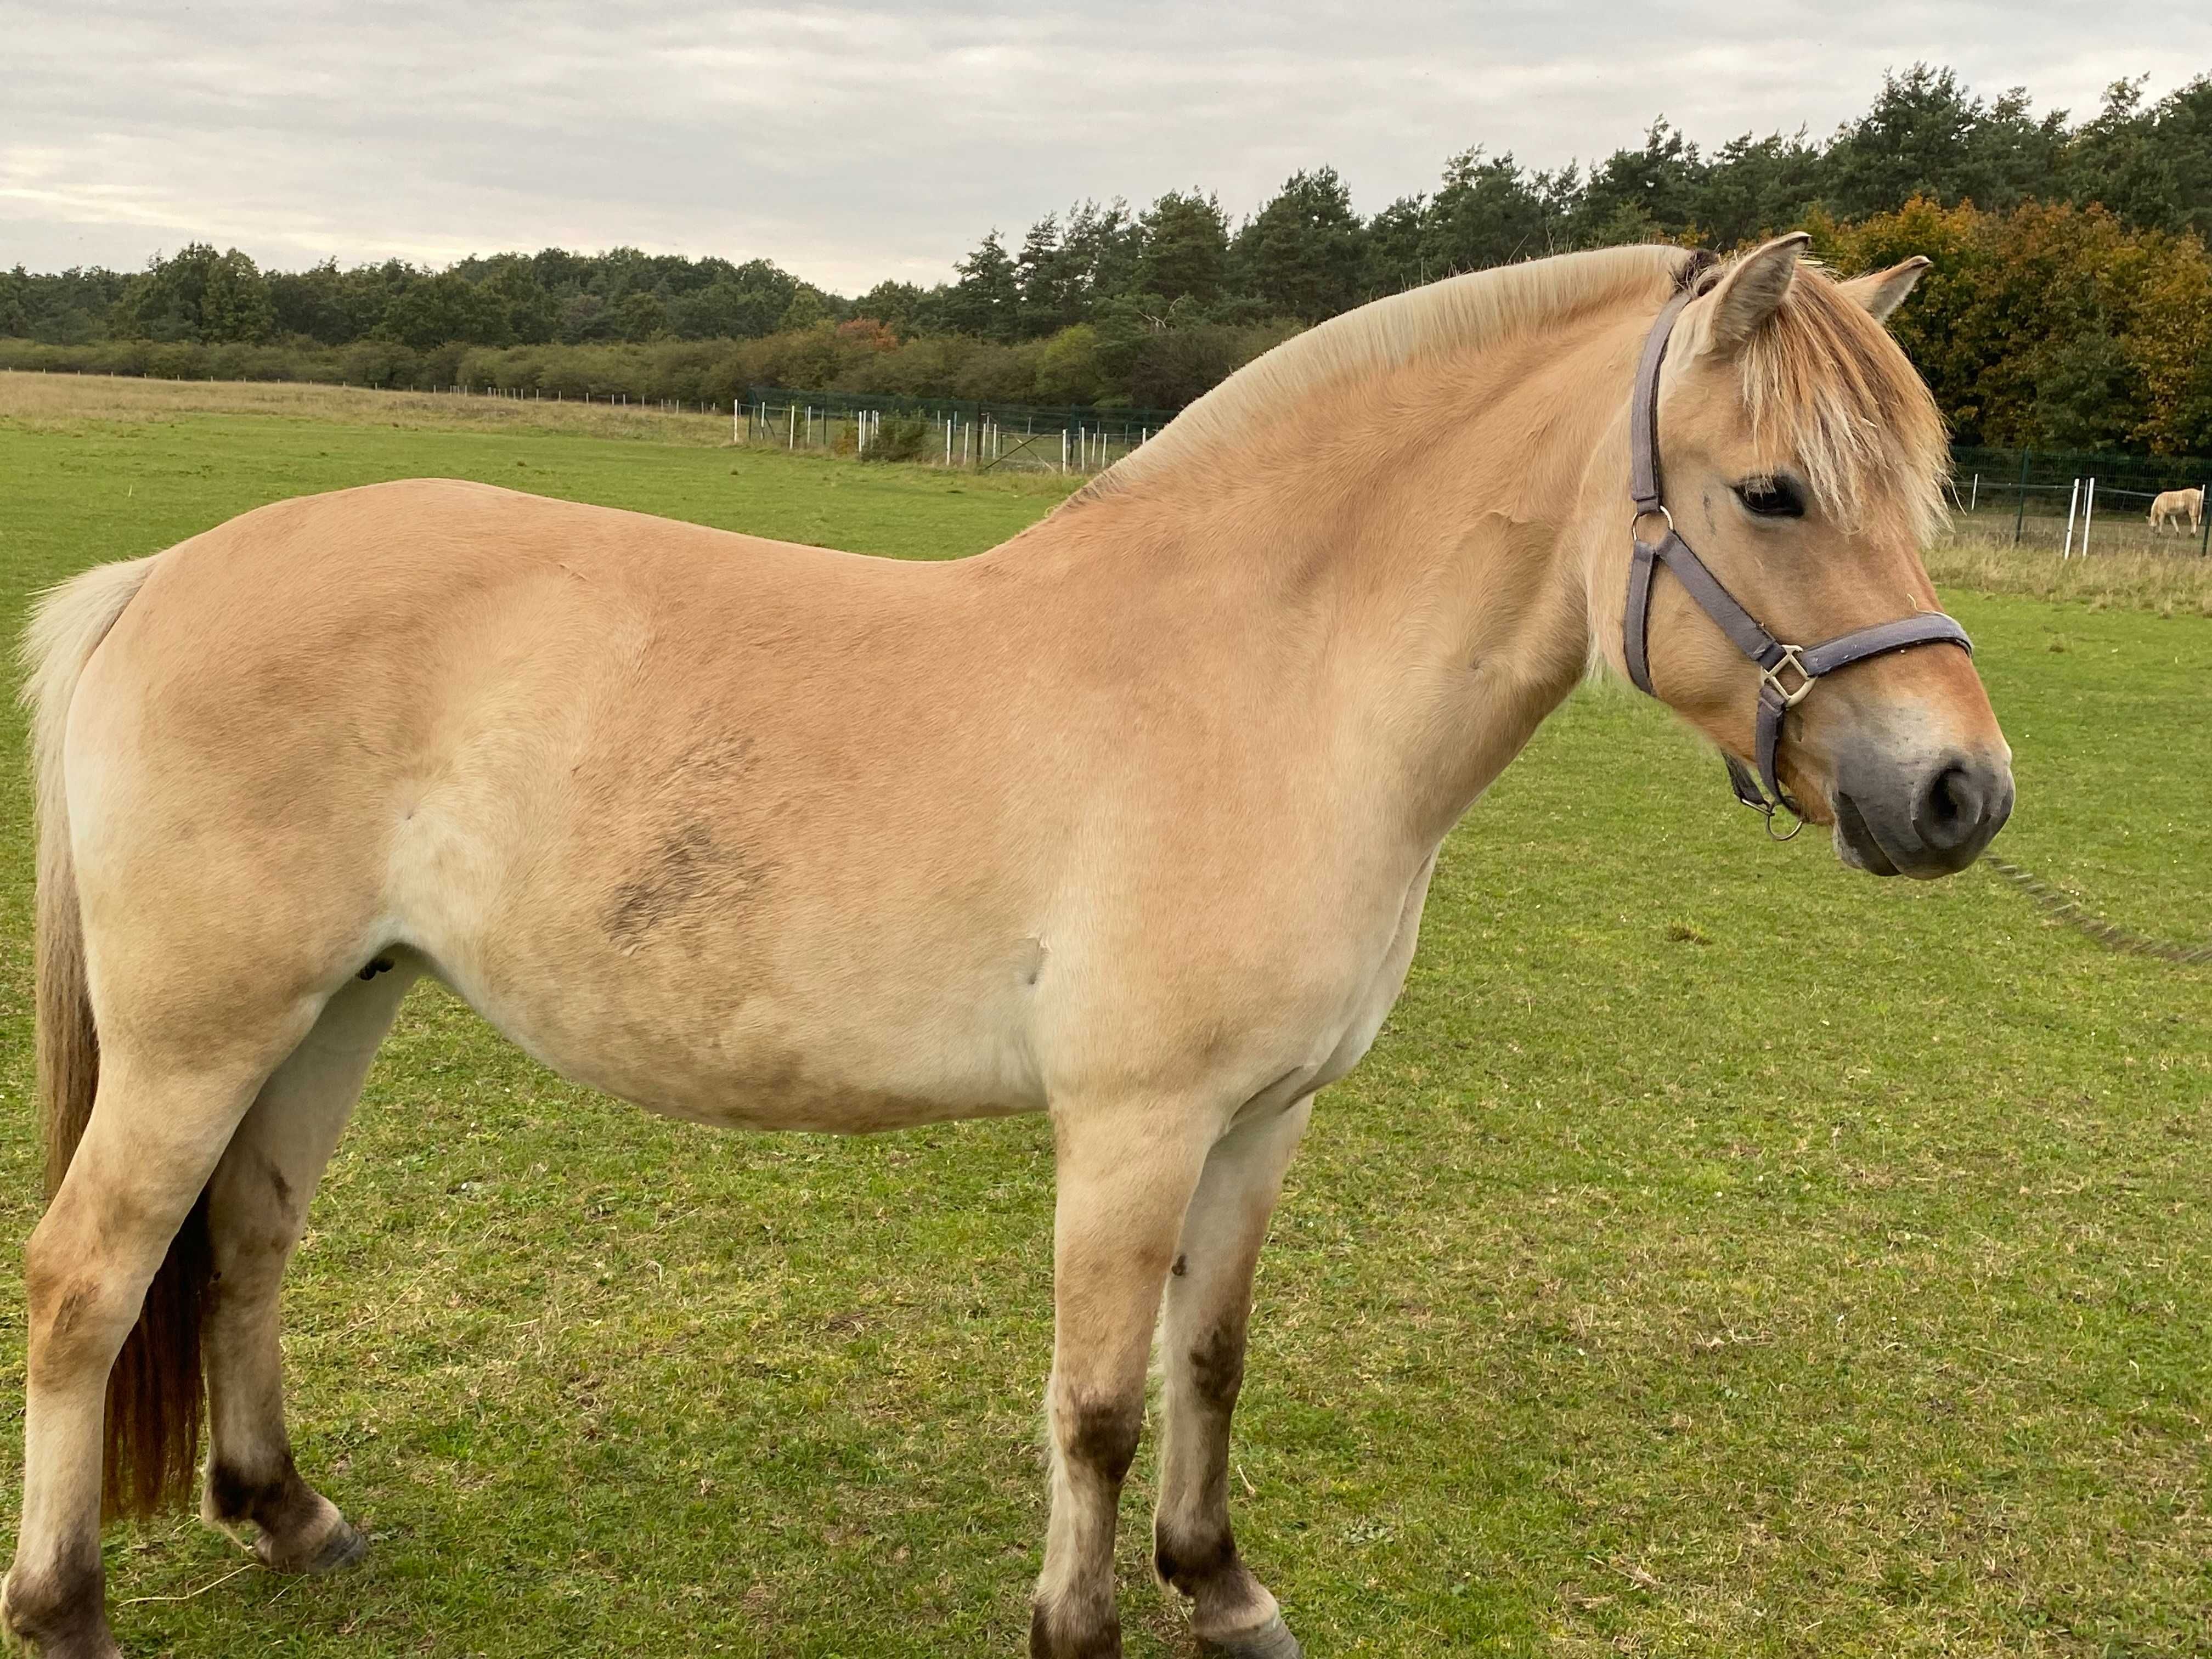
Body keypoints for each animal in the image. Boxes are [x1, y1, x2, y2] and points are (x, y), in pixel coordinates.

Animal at [4, 236, 2008, 1659]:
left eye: (1917, 491)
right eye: (1772, 492)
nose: (1959, 793)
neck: (1265, 683)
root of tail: (156, 582)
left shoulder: (1261, 1122)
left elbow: (1213, 1360)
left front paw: (1221, 1589)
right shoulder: (1131, 1125)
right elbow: (1100, 1402)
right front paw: (1084, 1624)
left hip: (329, 1011)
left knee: (245, 1247)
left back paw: (291, 1515)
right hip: (202, 1033)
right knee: (89, 1280)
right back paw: (69, 1609)